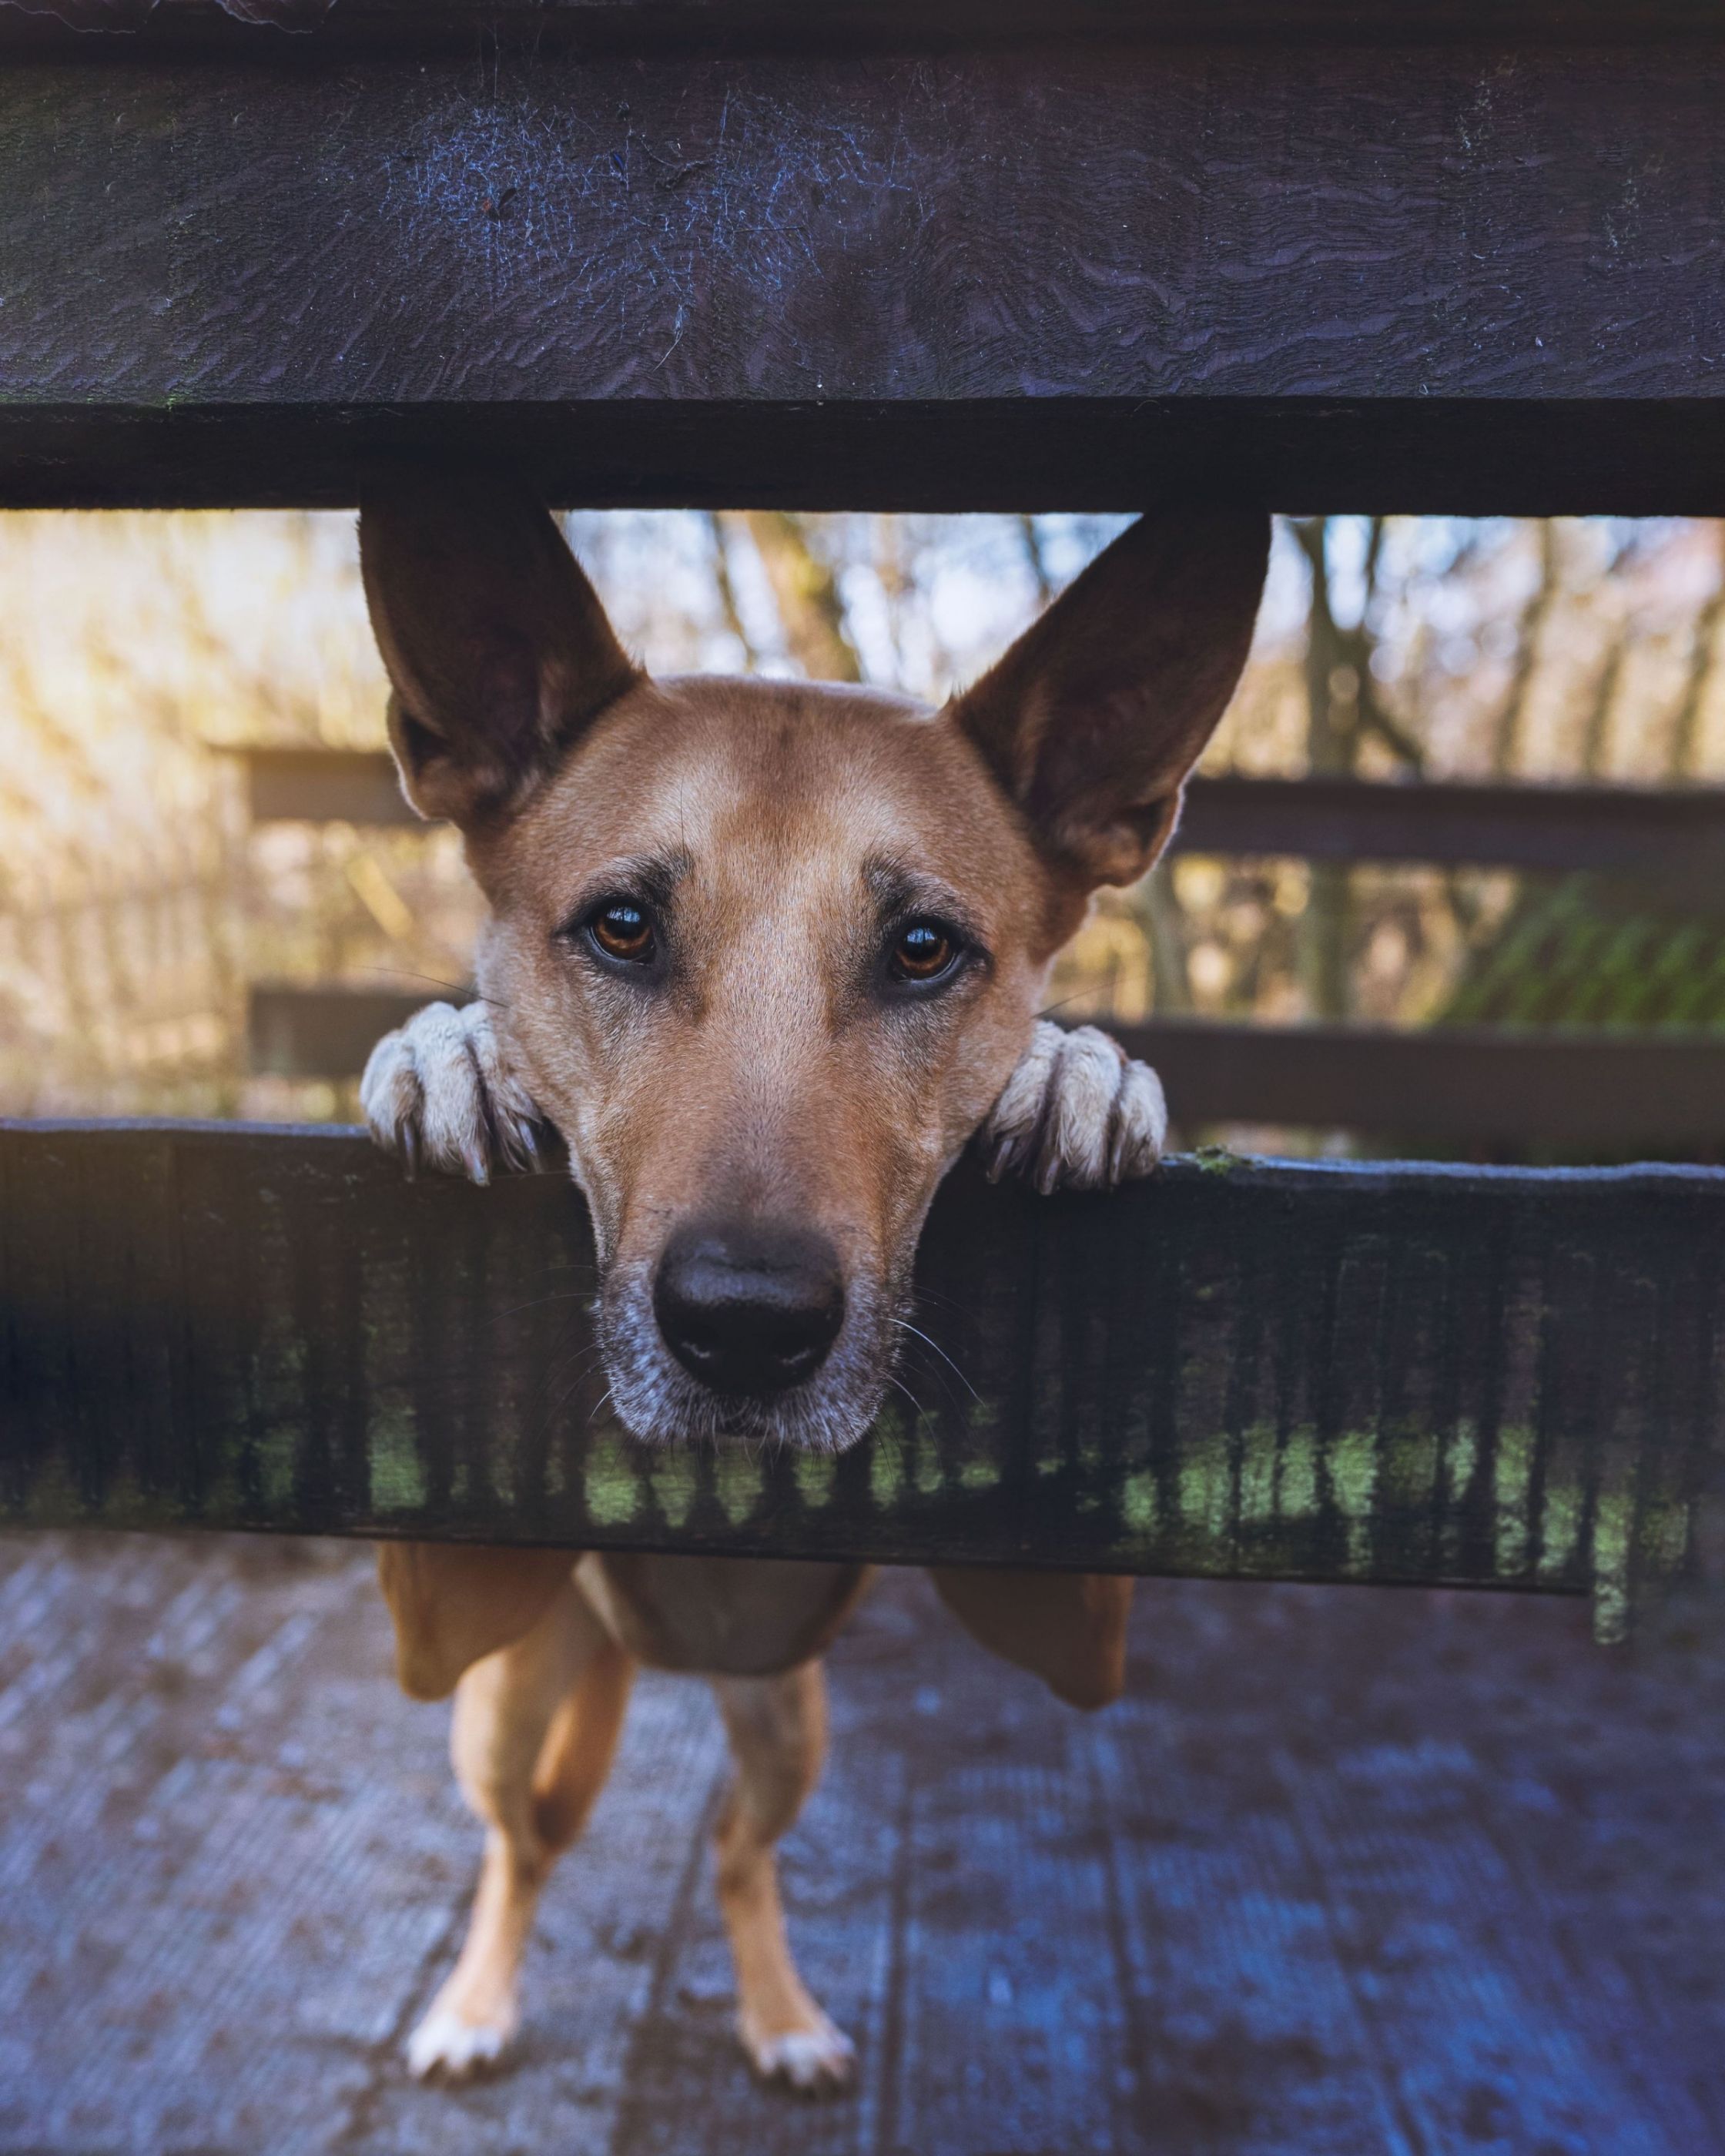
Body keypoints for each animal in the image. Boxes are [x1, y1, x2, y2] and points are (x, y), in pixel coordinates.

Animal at [357, 472, 1268, 2087]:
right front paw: (451, 1050)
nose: (745, 1330)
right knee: (522, 1844)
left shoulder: (1075, 1622)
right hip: (505, 1703)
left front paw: (1076, 1071)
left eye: (924, 950)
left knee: (736, 1848)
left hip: (790, 1715)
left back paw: (780, 2021)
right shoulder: (439, 1614)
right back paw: (474, 2004)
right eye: (622, 926)